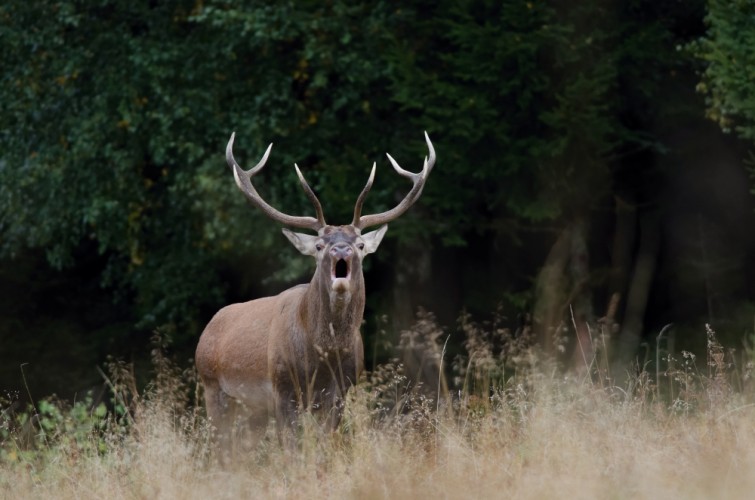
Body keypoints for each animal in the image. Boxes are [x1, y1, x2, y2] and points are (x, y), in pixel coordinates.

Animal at [193, 131, 438, 452]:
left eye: (360, 244)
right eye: (320, 245)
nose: (341, 250)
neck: (322, 360)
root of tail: (207, 330)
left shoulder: (342, 391)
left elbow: (325, 446)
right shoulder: (283, 388)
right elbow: (291, 450)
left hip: (251, 411)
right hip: (213, 387)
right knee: (220, 449)